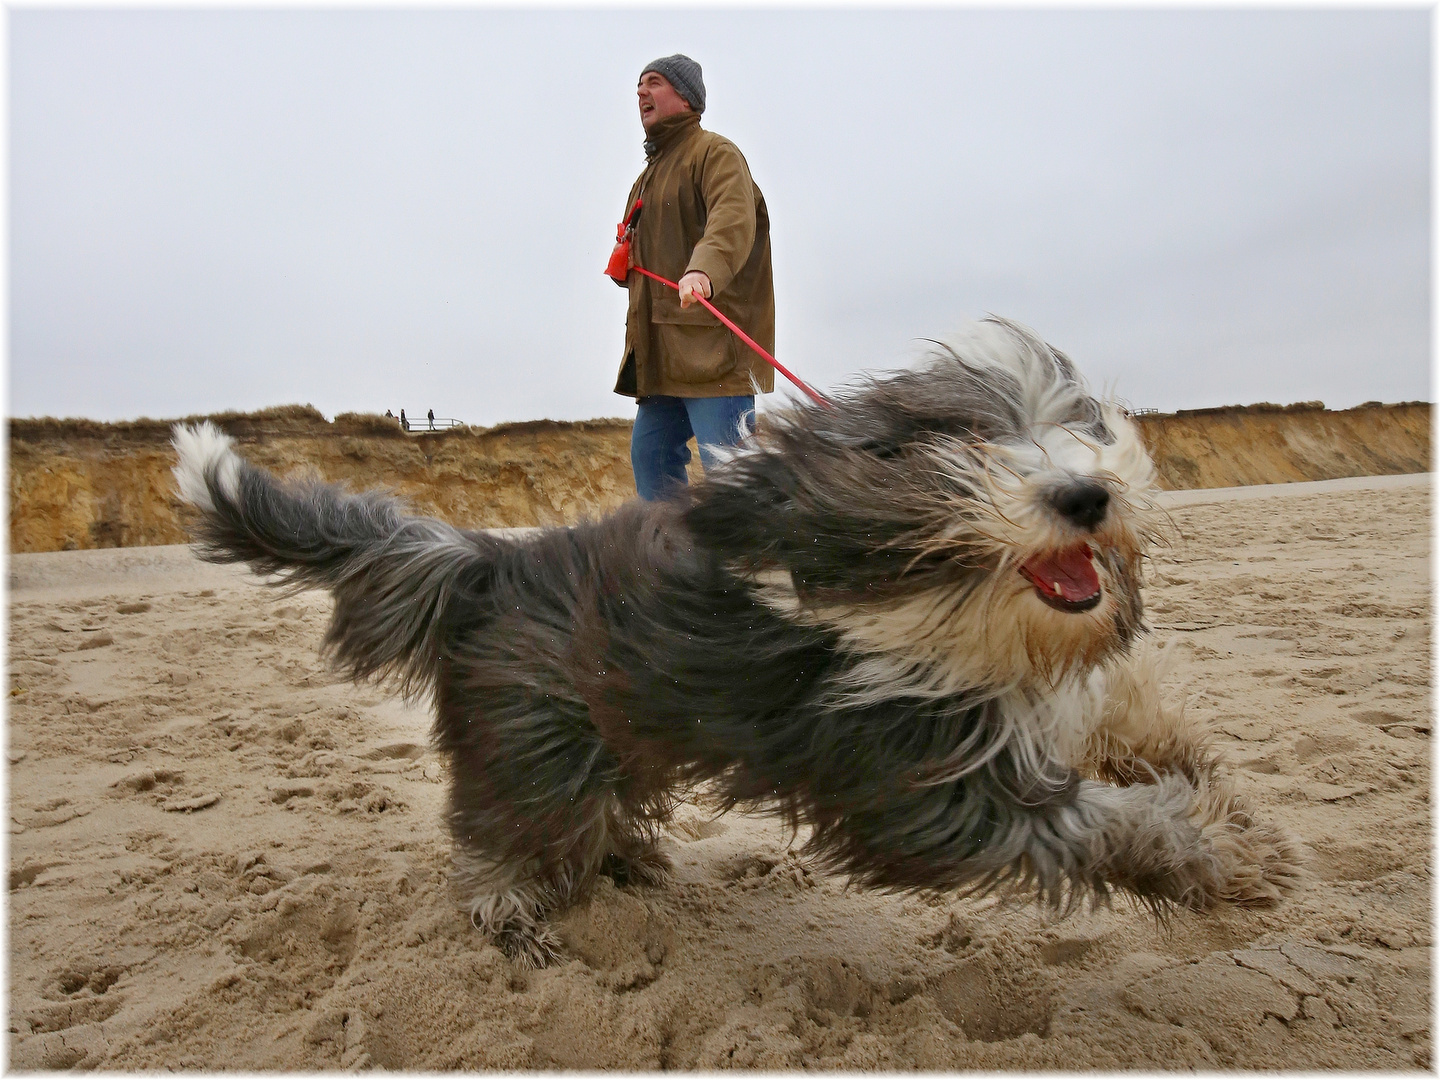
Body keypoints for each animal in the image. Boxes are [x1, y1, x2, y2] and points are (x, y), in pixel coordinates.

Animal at [171, 316, 1307, 967]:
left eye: (1079, 427)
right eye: (961, 447)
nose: (1086, 495)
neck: (944, 616)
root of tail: (486, 559)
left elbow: (1130, 731)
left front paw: (1204, 782)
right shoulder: (921, 786)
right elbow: (1106, 825)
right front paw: (1231, 861)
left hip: (609, 728)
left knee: (593, 805)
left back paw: (627, 862)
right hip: (533, 737)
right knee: (502, 829)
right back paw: (513, 915)